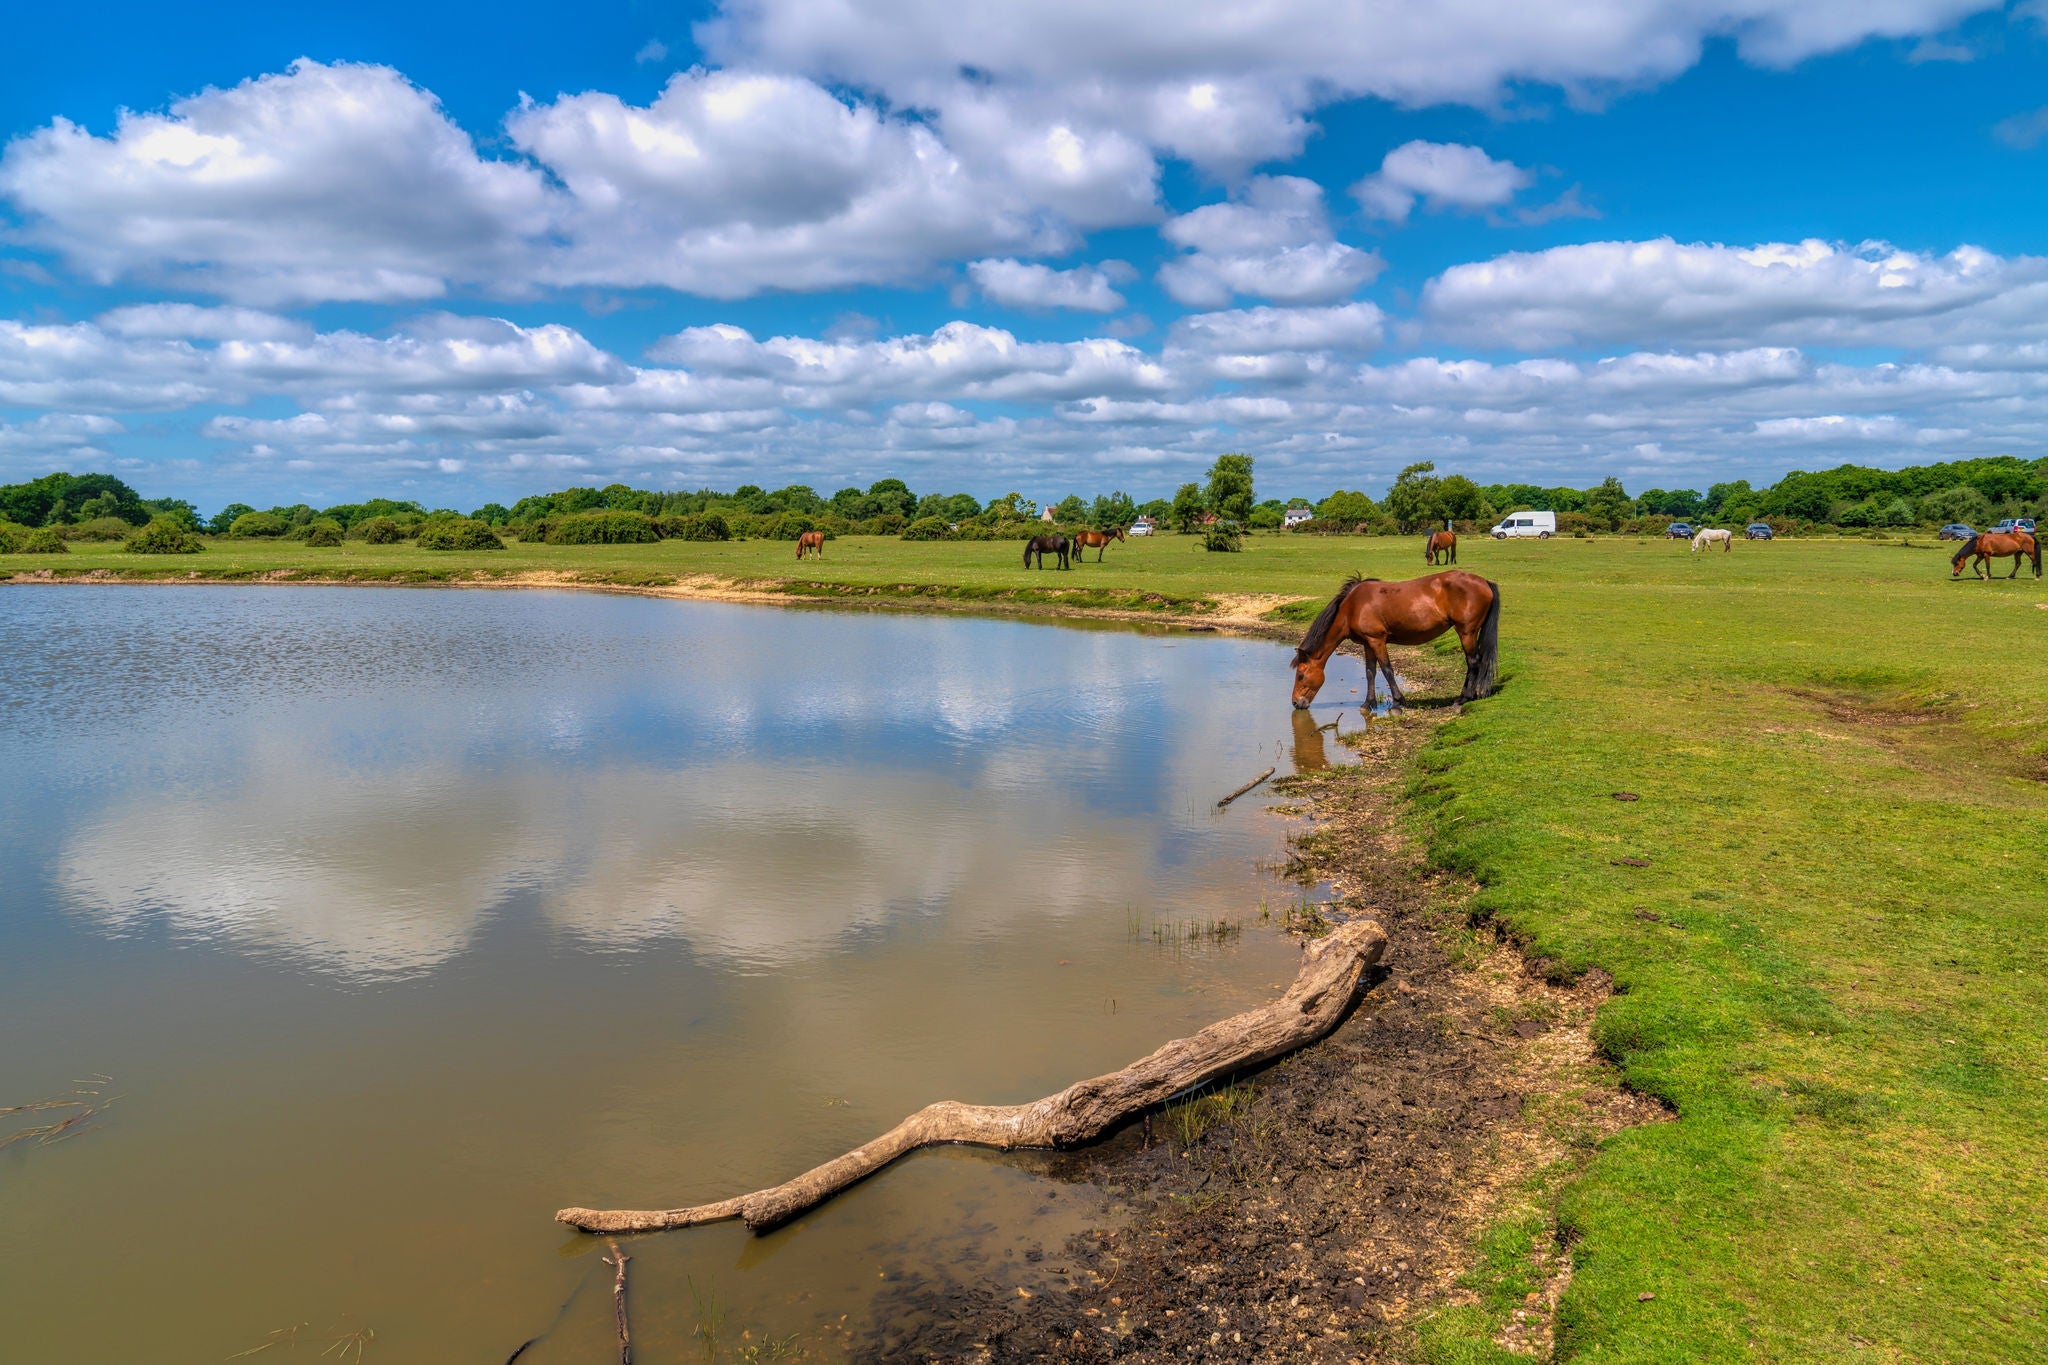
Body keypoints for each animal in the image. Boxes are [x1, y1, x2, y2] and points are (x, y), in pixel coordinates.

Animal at [1291, 571, 1501, 711]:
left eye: (1300, 675)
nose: (1295, 702)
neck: (1353, 607)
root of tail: (1484, 582)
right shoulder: (1368, 643)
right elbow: (1370, 672)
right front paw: (1368, 703)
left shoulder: (1377, 640)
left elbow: (1387, 670)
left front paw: (1398, 703)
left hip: (1466, 632)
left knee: (1473, 662)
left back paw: (1463, 699)